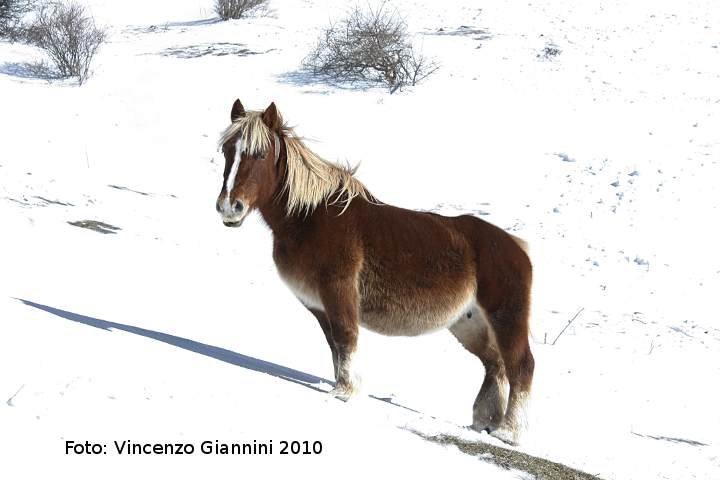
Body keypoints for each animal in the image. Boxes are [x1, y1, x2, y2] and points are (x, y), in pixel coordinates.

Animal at [214, 99, 536, 444]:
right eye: (227, 151)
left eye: (260, 154)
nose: (229, 207)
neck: (310, 218)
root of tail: (517, 248)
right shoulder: (319, 305)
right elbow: (335, 347)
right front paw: (341, 386)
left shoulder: (339, 291)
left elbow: (346, 338)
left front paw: (345, 392)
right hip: (468, 323)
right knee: (495, 365)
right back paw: (483, 423)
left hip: (505, 318)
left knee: (520, 366)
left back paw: (507, 432)